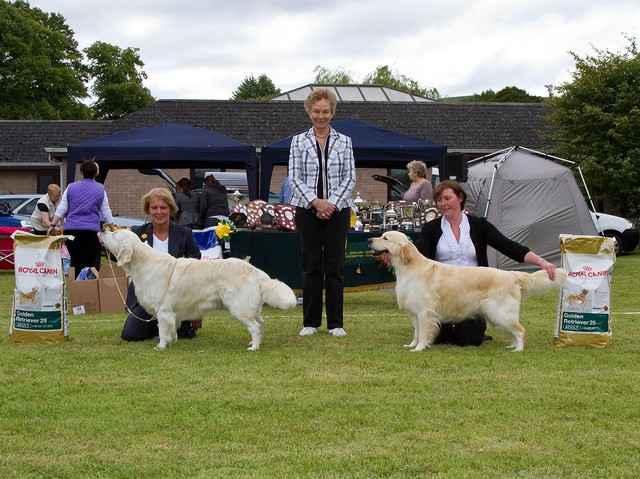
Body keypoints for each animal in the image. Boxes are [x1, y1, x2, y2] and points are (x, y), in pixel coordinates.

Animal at [99, 229, 297, 350]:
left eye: (114, 233)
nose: (102, 228)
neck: (144, 262)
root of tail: (254, 270)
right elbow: (169, 329)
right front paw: (172, 341)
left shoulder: (163, 310)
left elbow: (162, 329)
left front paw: (161, 345)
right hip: (251, 307)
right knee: (261, 323)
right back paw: (258, 342)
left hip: (239, 308)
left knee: (255, 326)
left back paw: (254, 347)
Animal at [368, 231, 568, 352]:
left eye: (385, 238)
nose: (369, 240)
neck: (410, 267)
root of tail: (512, 275)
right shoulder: (416, 313)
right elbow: (416, 332)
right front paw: (412, 345)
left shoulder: (425, 312)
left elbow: (423, 333)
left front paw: (420, 348)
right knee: (514, 331)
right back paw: (512, 346)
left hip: (499, 313)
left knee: (520, 330)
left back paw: (518, 350)